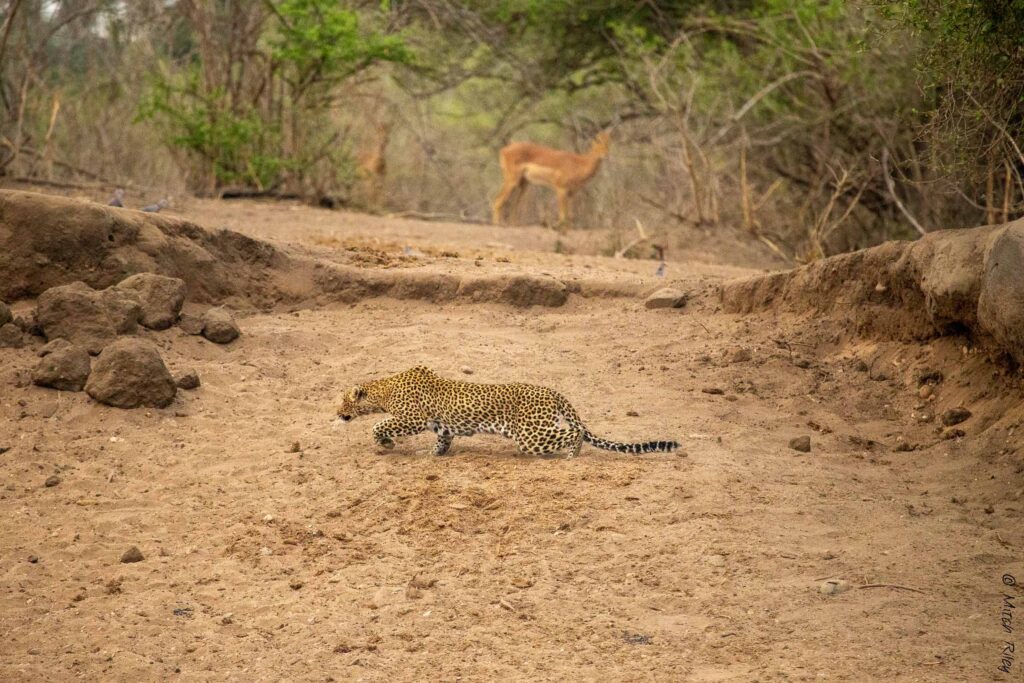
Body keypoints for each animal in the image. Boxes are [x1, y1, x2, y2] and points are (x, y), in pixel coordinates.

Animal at [333, 366, 679, 456]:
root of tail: (552, 391)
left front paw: (386, 443)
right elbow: (443, 440)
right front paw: (434, 455)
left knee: (575, 431)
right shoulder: (441, 426)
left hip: (529, 435)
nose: (336, 414)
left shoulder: (412, 419)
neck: (383, 389)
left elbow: (378, 426)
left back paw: (572, 456)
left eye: (342, 403)